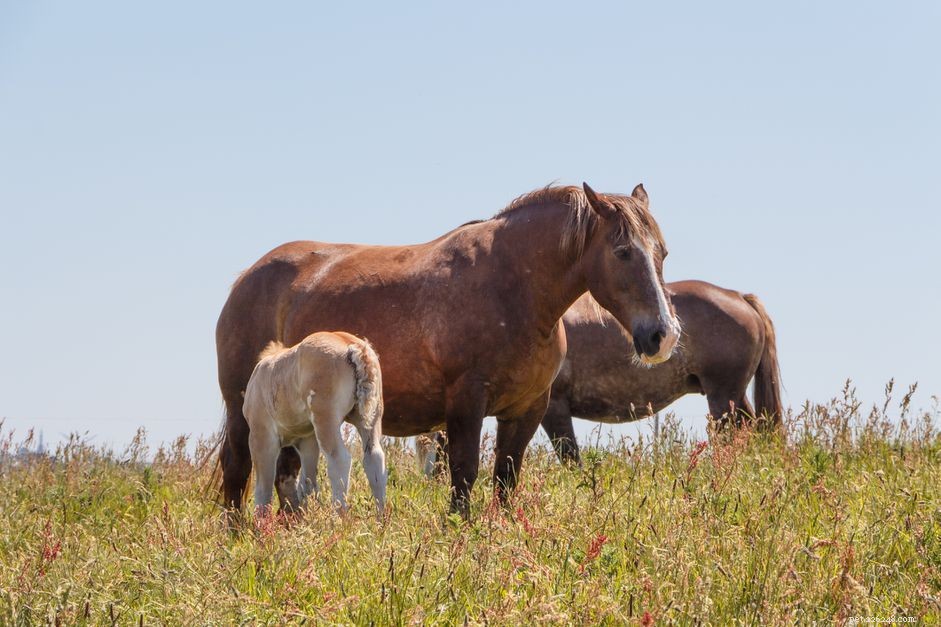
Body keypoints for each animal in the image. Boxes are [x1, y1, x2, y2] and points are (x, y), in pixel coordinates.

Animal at [242, 331, 386, 514]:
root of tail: (353, 345)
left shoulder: (261, 434)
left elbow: (263, 488)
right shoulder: (307, 439)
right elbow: (307, 483)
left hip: (325, 418)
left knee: (340, 459)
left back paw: (338, 515)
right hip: (370, 417)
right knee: (374, 458)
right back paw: (381, 517)